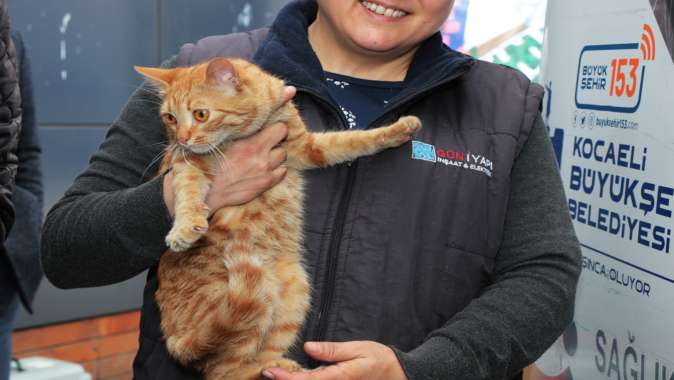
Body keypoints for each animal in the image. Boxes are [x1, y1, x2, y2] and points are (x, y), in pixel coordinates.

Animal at [135, 57, 420, 380]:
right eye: (170, 118)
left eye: (200, 114)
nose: (181, 138)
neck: (247, 132)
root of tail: (180, 344)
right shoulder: (186, 163)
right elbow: (188, 191)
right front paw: (184, 228)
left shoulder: (306, 147)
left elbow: (354, 140)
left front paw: (397, 130)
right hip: (244, 307)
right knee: (227, 370)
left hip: (294, 287)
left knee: (254, 357)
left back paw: (281, 367)